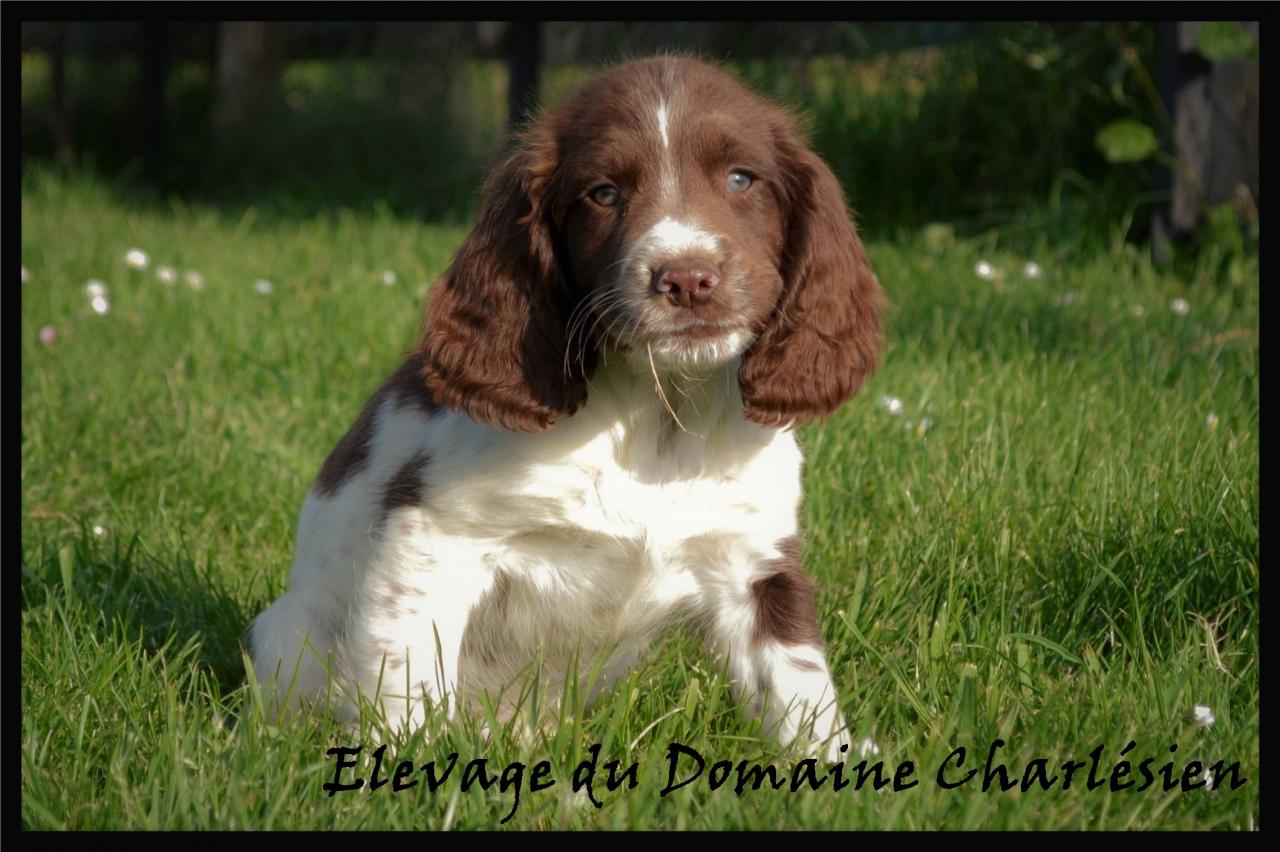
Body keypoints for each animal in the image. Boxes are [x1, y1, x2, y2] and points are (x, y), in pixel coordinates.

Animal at [254, 54, 885, 757]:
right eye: (603, 193)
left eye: (741, 179)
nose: (687, 279)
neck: (656, 413)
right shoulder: (434, 537)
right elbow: (407, 677)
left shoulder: (753, 561)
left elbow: (802, 690)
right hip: (289, 635)